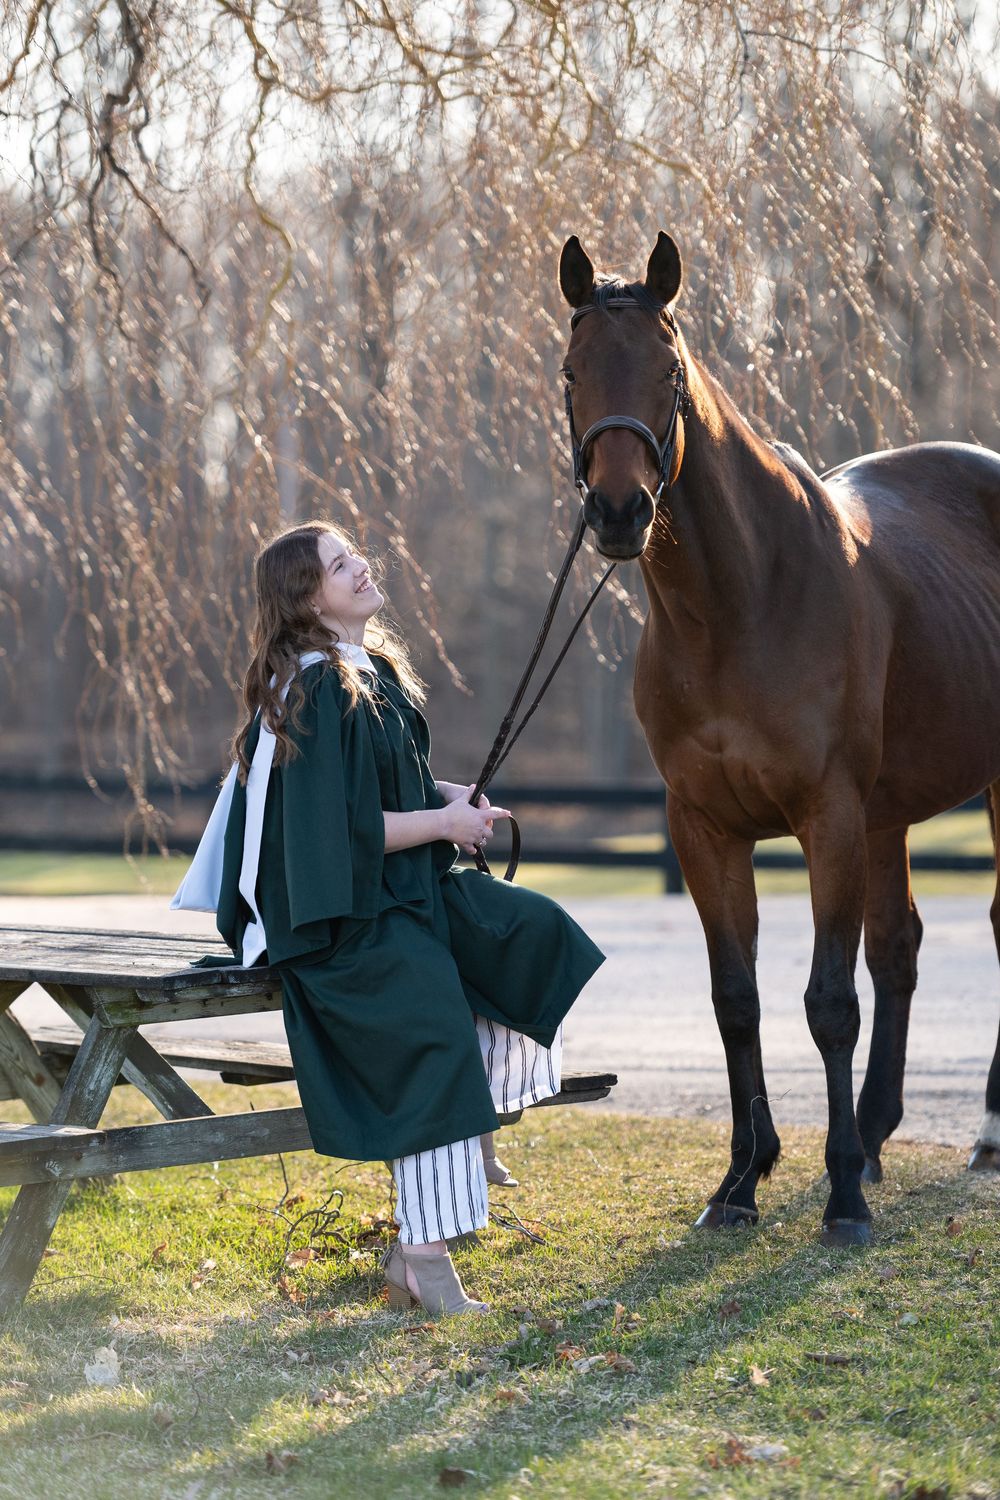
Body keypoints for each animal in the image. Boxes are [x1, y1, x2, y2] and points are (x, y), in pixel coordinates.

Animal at [558, 231, 1000, 1245]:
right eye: (570, 371)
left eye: (669, 373)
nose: (618, 513)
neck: (742, 604)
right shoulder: (705, 830)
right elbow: (738, 1001)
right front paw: (741, 1180)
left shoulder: (825, 817)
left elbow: (828, 1004)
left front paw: (840, 1200)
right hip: (888, 815)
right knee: (899, 946)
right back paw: (873, 1136)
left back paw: (974, 1136)